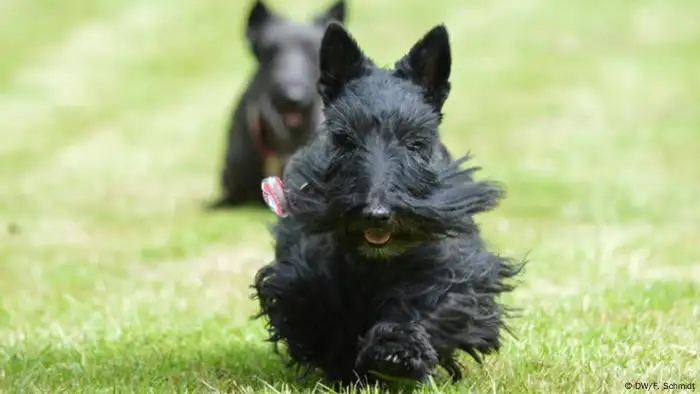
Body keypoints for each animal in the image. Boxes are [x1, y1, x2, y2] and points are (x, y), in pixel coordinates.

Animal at [252, 22, 524, 388]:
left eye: (415, 141)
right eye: (344, 139)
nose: (376, 215)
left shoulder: (451, 274)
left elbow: (425, 306)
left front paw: (396, 353)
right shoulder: (303, 274)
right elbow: (317, 307)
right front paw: (344, 364)